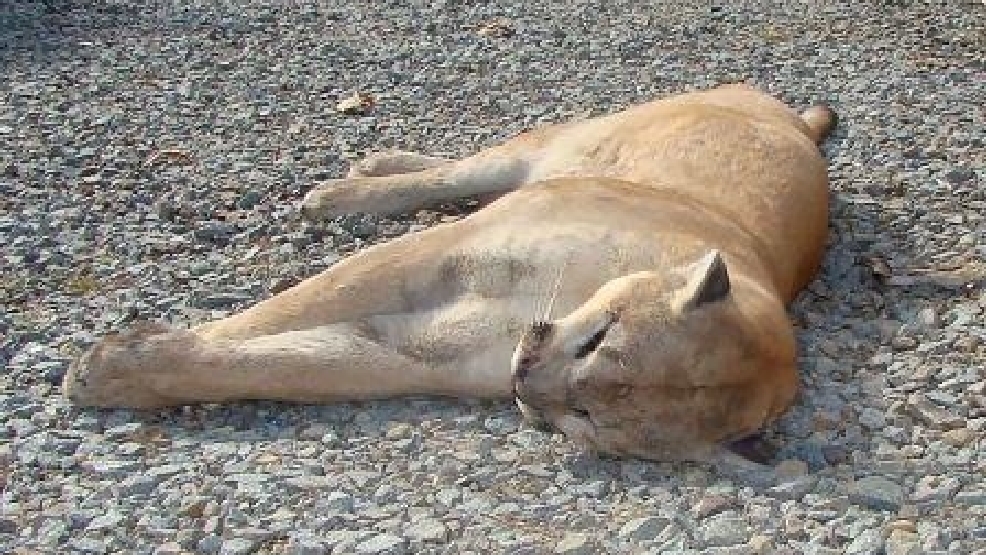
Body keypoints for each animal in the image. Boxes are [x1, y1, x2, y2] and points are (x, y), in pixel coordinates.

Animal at [63, 84, 836, 464]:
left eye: (589, 418)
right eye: (598, 340)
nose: (526, 381)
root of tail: (792, 118)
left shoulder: (422, 350)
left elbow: (287, 364)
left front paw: (127, 370)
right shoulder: (440, 252)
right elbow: (274, 316)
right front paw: (113, 365)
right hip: (562, 144)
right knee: (468, 166)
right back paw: (353, 185)